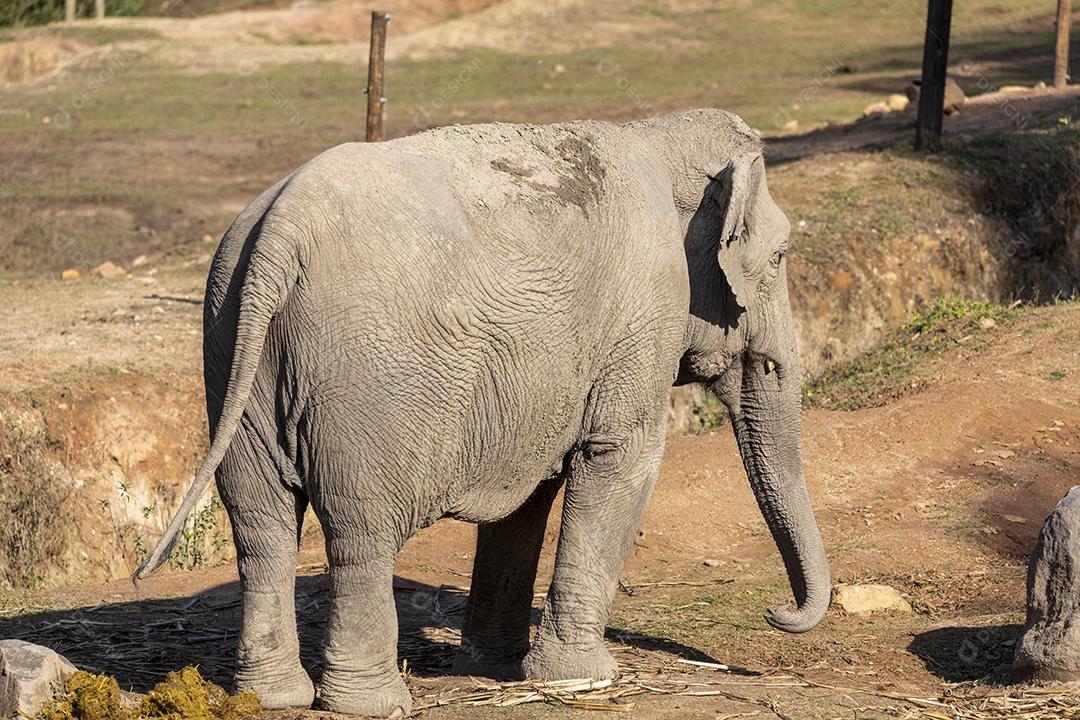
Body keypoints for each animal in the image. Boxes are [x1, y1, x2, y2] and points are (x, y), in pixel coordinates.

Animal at [136, 108, 830, 717]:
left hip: (231, 349)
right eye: (778, 258)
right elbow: (620, 459)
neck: (656, 136)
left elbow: (531, 493)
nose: (777, 612)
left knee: (261, 525)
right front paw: (586, 678)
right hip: (365, 384)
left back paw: (271, 698)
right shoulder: (643, 313)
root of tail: (278, 234)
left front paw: (493, 665)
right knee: (361, 531)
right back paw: (375, 705)